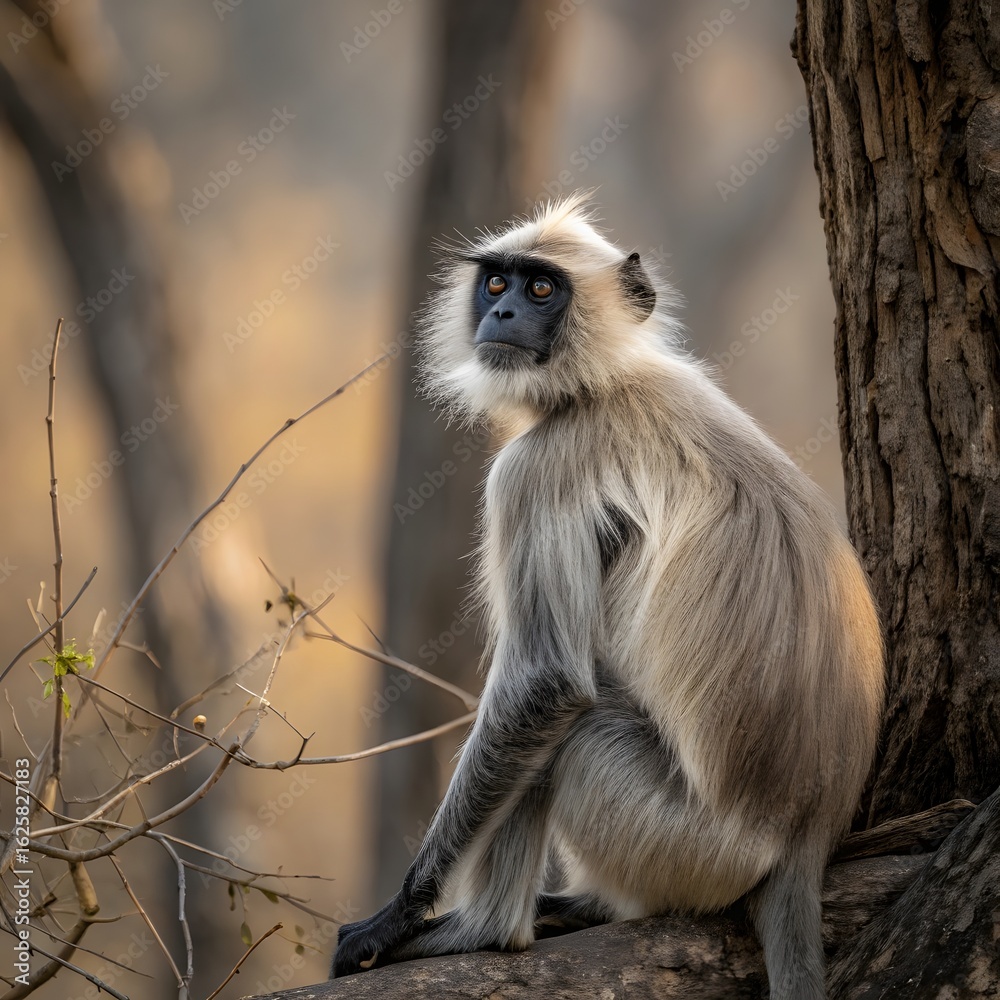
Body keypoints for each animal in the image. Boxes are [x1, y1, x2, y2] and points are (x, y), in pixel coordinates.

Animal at [333, 192, 884, 1000]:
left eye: (540, 289)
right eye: (495, 284)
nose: (501, 315)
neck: (603, 385)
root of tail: (804, 835)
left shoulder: (535, 470)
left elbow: (546, 686)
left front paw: (397, 915)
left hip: (686, 842)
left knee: (568, 731)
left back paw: (488, 930)